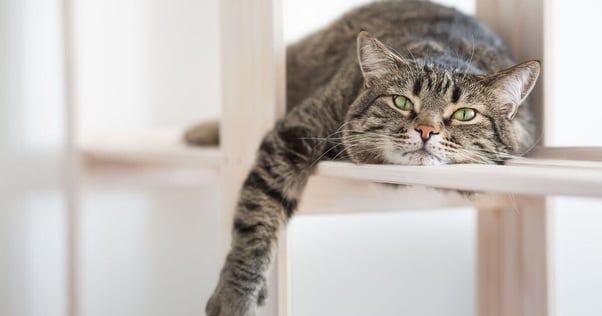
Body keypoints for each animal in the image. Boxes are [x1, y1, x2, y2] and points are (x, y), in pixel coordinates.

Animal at [198, 1, 540, 314]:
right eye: (402, 102)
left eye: (465, 114)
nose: (426, 129)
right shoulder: (293, 135)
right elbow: (256, 220)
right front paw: (234, 297)